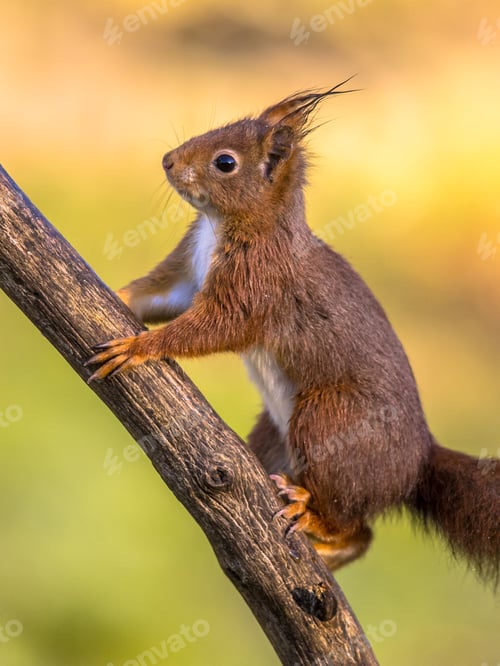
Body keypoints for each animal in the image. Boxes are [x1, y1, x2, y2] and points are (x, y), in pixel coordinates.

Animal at [87, 81, 500, 583]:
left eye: (225, 162)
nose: (168, 160)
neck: (220, 225)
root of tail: (418, 462)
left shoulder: (256, 285)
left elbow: (215, 327)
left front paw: (139, 346)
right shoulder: (188, 273)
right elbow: (163, 296)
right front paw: (114, 293)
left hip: (329, 421)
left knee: (355, 524)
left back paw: (318, 521)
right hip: (273, 437)